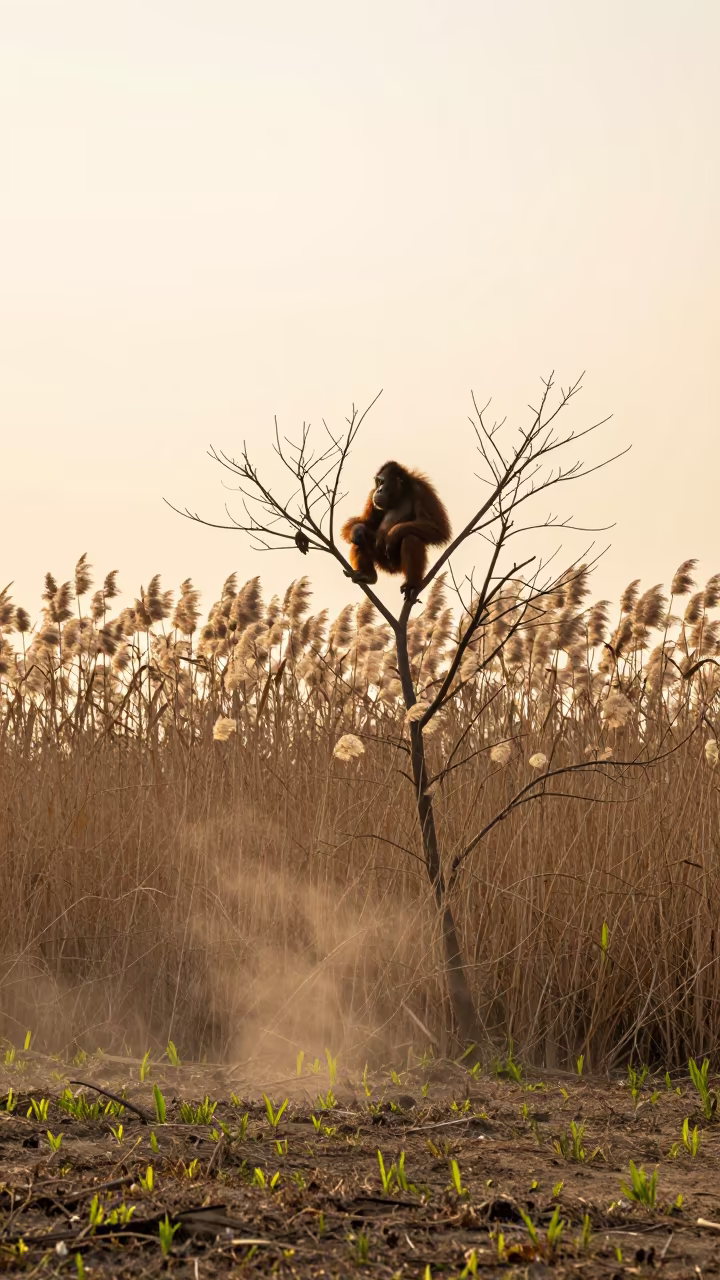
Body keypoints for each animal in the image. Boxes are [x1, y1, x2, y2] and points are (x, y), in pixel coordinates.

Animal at [341, 461, 451, 598]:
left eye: (382, 482)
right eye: (378, 482)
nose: (379, 490)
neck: (400, 495)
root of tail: (393, 570)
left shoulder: (421, 490)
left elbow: (438, 528)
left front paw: (394, 533)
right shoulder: (372, 496)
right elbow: (365, 522)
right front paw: (357, 529)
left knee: (410, 538)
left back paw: (411, 584)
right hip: (382, 561)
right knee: (361, 538)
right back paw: (368, 575)